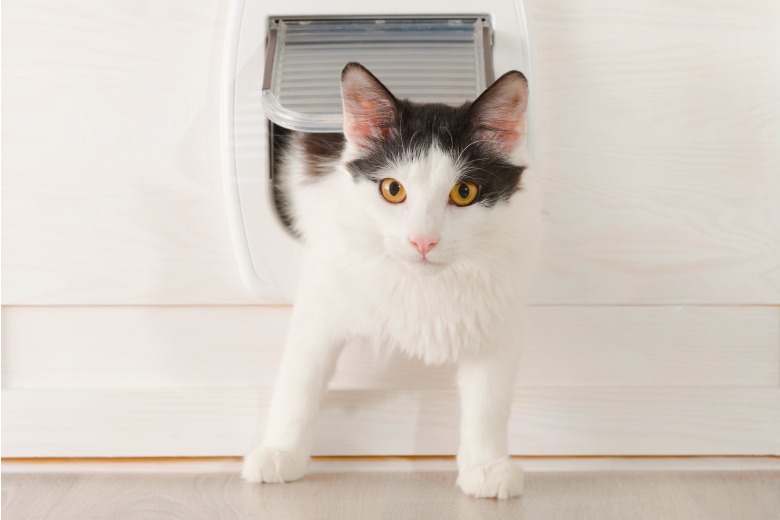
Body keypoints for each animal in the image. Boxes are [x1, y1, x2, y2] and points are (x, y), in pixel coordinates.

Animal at [241, 62, 540, 500]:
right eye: (393, 189)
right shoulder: (320, 297)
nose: (423, 241)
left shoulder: (499, 310)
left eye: (464, 192)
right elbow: (298, 378)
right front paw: (280, 451)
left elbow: (489, 400)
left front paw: (486, 466)